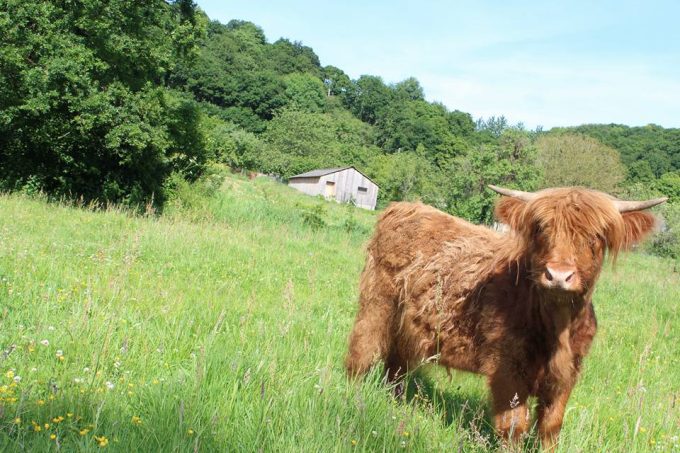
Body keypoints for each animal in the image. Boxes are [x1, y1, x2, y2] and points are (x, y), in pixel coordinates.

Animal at [345, 186, 666, 450]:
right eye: (541, 230)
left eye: (596, 237)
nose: (558, 275)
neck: (557, 327)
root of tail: (404, 207)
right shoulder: (507, 371)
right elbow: (513, 427)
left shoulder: (566, 375)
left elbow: (550, 427)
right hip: (376, 306)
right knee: (362, 352)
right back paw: (353, 399)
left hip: (408, 327)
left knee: (396, 365)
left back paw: (394, 404)